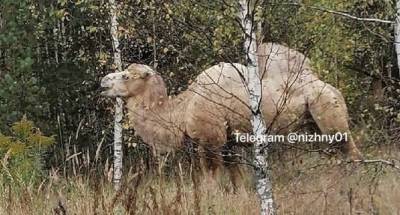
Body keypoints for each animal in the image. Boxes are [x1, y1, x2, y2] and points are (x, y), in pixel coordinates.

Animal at [100, 42, 362, 191]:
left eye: (126, 76)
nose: (103, 81)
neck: (183, 109)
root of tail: (330, 87)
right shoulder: (228, 142)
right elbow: (235, 175)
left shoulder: (211, 141)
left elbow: (211, 178)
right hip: (314, 124)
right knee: (333, 156)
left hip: (329, 112)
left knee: (351, 152)